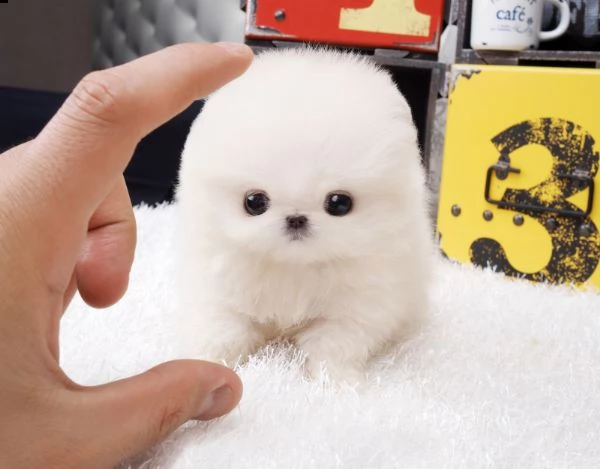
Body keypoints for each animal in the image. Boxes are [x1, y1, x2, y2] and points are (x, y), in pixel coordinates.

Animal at [175, 47, 434, 383]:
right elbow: (222, 331)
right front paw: (205, 363)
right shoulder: (220, 290)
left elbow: (334, 346)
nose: (296, 218)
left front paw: (336, 382)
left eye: (339, 203)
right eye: (254, 202)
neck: (294, 267)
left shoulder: (355, 308)